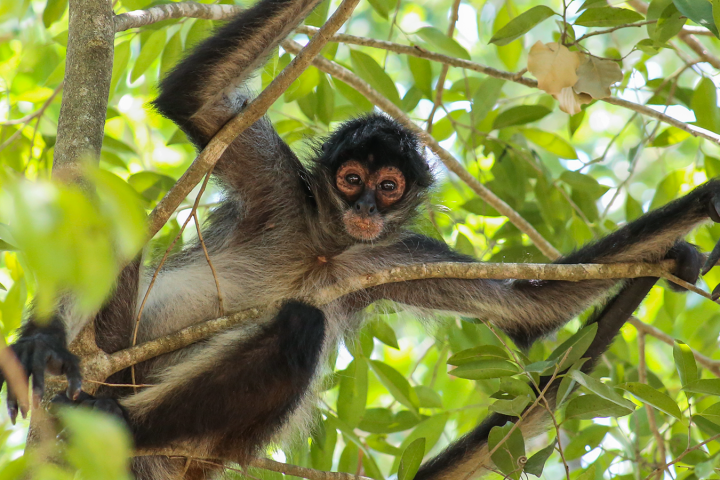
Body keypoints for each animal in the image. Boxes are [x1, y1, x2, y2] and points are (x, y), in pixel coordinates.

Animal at [3, 0, 720, 478]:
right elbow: (193, 100)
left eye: (391, 187)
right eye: (351, 179)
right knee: (107, 207)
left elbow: (527, 307)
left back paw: (117, 424)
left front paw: (695, 217)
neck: (327, 244)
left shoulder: (393, 255)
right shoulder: (281, 189)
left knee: (300, 328)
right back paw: (47, 346)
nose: (369, 206)